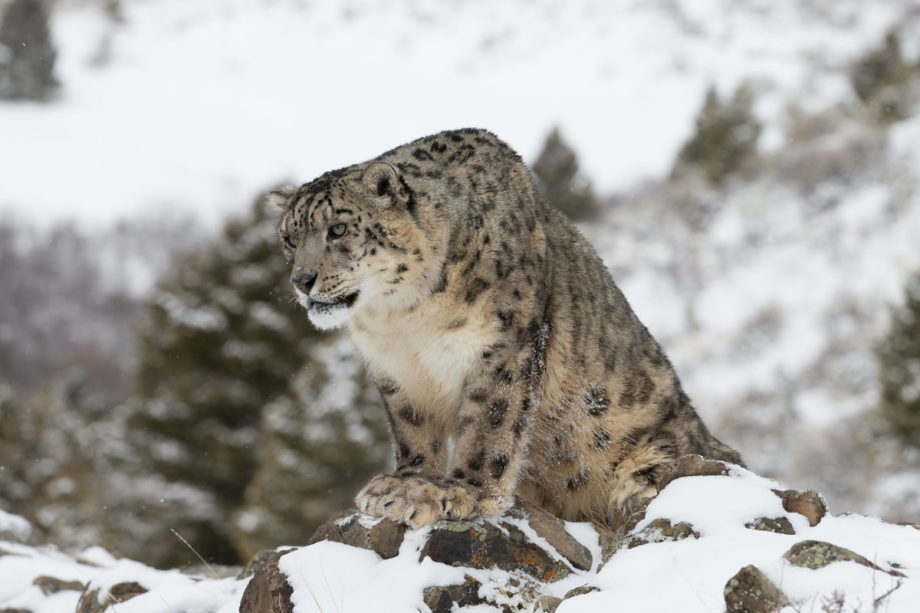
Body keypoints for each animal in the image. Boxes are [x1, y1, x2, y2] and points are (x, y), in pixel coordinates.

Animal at [272, 126, 740, 528]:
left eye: (338, 229)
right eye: (289, 239)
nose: (302, 280)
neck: (402, 318)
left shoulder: (502, 347)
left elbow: (490, 423)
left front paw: (460, 492)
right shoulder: (395, 369)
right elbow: (411, 430)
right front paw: (403, 485)